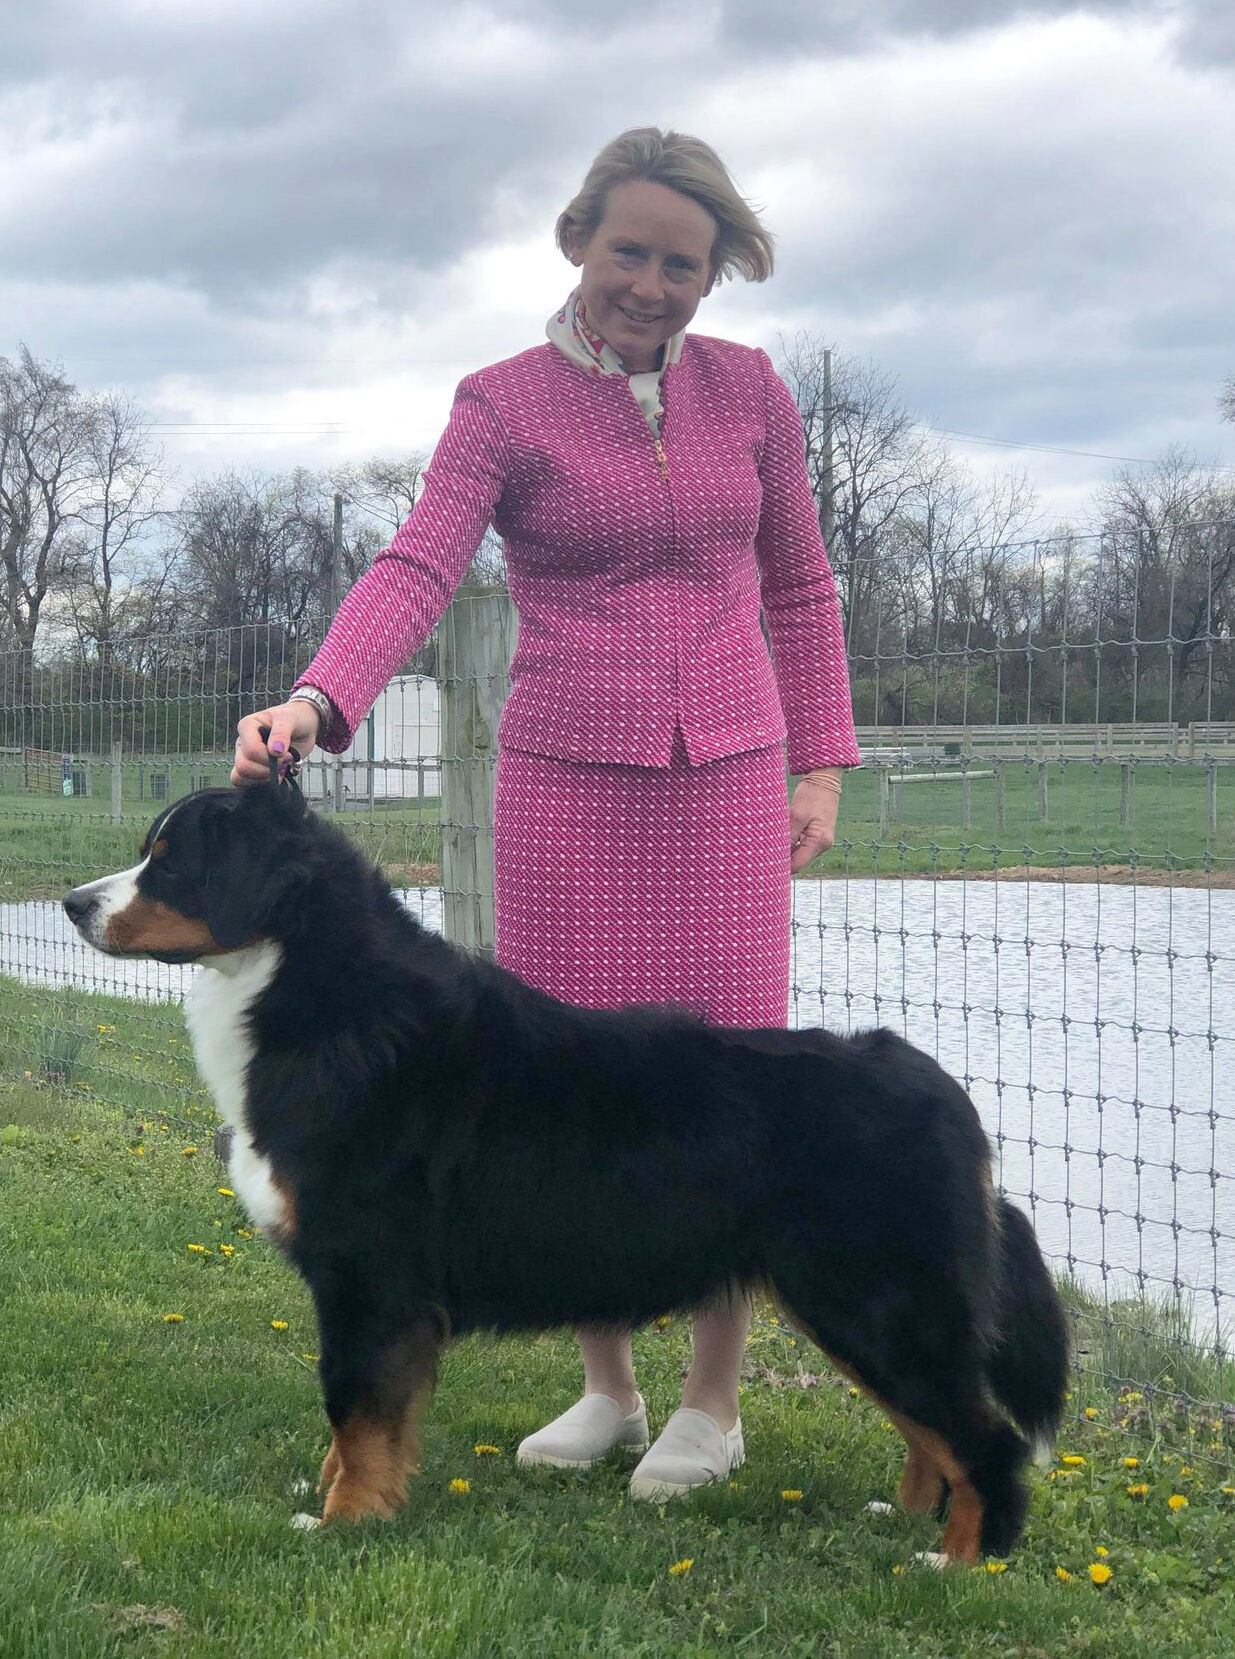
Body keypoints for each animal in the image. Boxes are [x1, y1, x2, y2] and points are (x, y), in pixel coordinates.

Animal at [62, 769, 1069, 1559]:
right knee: (934, 1432)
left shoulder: (367, 1273)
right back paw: (900, 1524)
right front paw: (344, 1495)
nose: (74, 902)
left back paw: (956, 1563)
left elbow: (355, 1405)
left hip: (874, 1298)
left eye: (172, 861)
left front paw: (346, 1521)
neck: (314, 993)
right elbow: (357, 1418)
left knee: (981, 1439)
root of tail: (943, 1089)